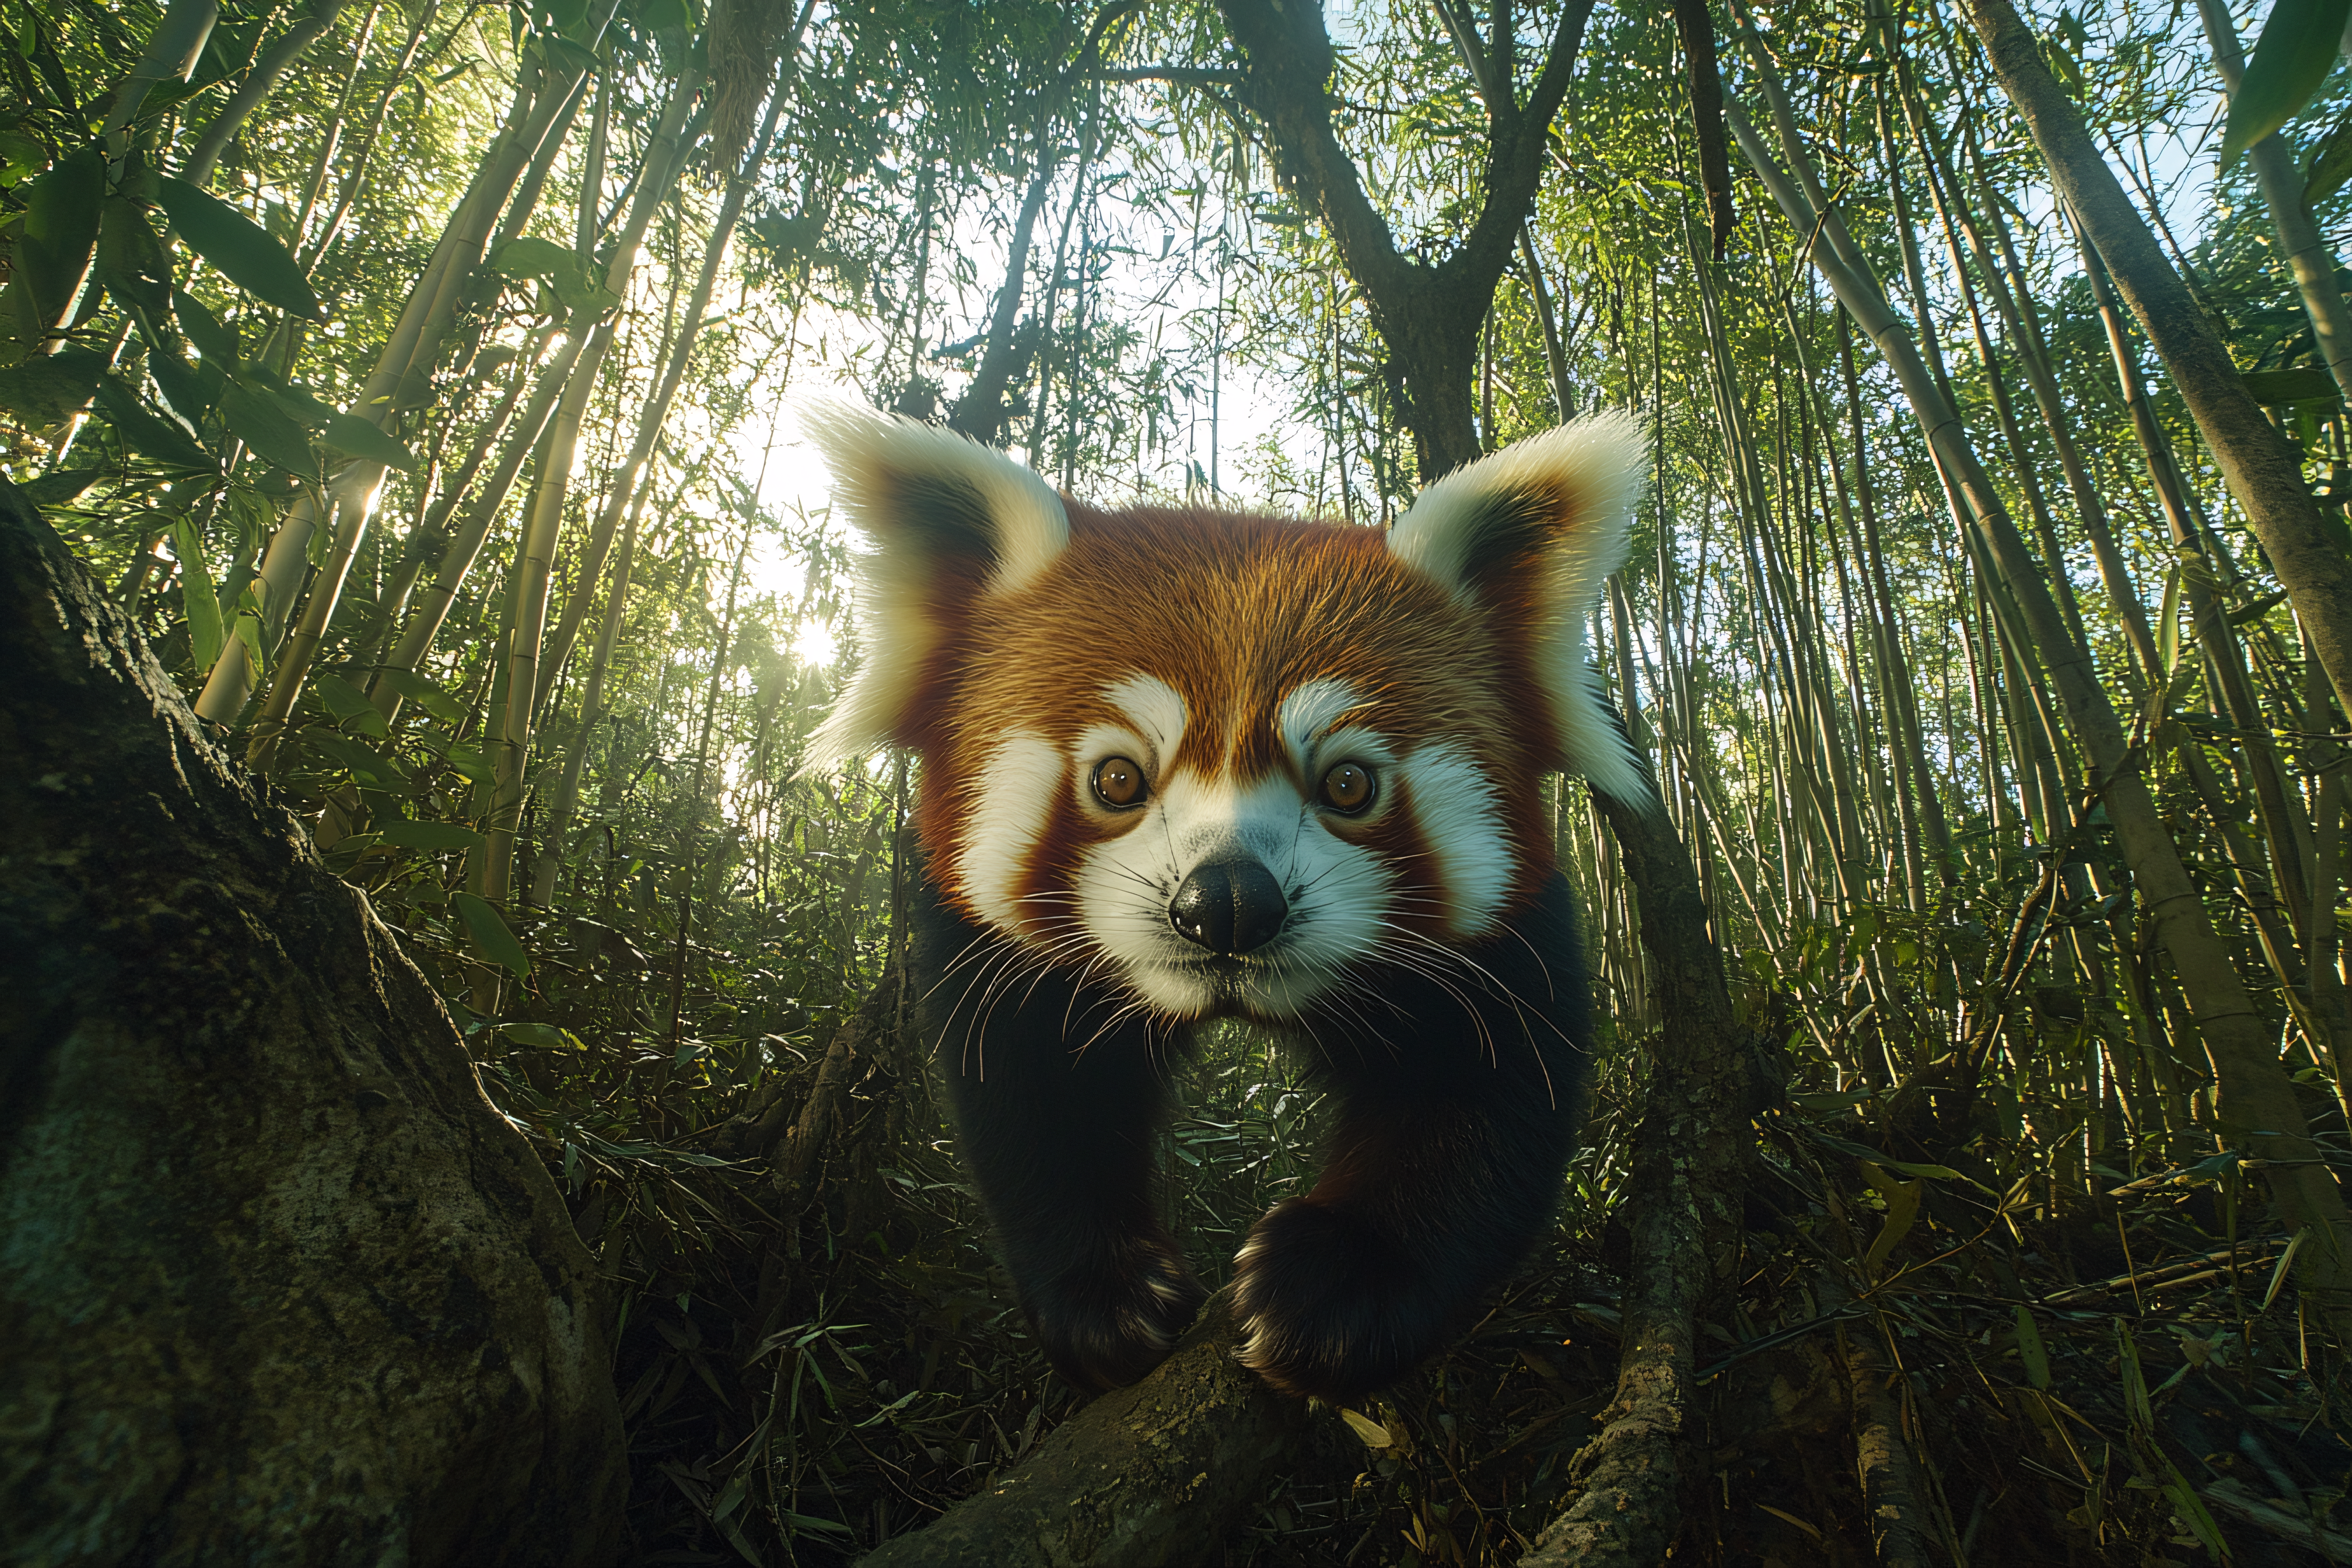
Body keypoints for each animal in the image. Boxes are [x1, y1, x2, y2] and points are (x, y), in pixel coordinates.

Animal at [802, 402, 1651, 1402]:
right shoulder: (998, 968)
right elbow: (1035, 1095)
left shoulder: (1501, 953)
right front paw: (1105, 1294)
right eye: (1117, 779)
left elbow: (1486, 1101)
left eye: (1350, 785)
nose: (1230, 904)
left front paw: (1339, 1285)